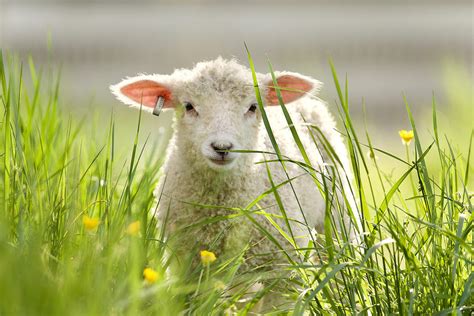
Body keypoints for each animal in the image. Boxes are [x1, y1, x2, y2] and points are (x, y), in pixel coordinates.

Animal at [110, 57, 360, 312]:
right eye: (189, 106)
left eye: (253, 107)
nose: (222, 147)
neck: (222, 209)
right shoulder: (188, 266)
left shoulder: (285, 265)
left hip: (338, 219)